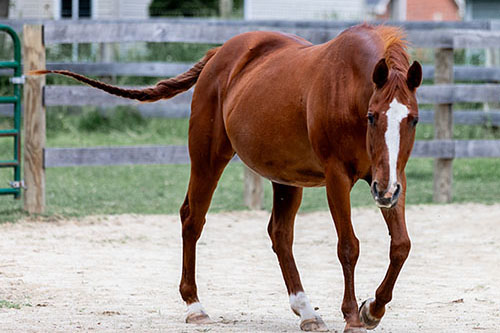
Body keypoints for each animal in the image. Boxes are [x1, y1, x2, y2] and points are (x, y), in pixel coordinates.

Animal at [32, 24, 422, 332]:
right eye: (372, 116)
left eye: (413, 119)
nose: (384, 192)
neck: (348, 85)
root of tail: (221, 54)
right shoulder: (338, 178)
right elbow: (348, 247)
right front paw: (353, 317)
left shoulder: (390, 177)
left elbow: (401, 246)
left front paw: (373, 309)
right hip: (208, 159)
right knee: (193, 219)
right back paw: (195, 306)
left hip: (286, 178)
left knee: (280, 235)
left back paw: (306, 312)